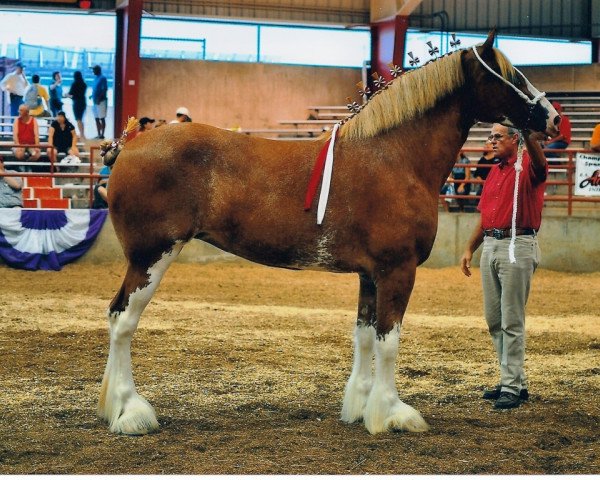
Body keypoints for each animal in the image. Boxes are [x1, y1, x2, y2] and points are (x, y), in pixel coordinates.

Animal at [98, 30, 556, 436]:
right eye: (512, 75)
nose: (553, 118)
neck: (396, 157)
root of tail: (129, 145)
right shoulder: (397, 270)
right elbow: (389, 341)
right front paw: (393, 414)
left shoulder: (370, 275)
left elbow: (365, 338)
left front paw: (362, 406)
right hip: (152, 256)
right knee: (123, 320)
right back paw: (131, 412)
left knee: (117, 316)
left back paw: (113, 409)